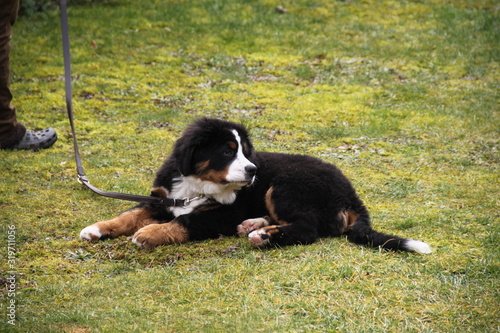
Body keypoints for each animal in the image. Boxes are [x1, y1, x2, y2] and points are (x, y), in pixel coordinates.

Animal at [80, 116, 432, 252]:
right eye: (227, 151)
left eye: (244, 151)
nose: (252, 171)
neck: (197, 185)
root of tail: (351, 194)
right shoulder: (164, 198)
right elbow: (130, 214)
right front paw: (97, 229)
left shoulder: (219, 214)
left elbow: (186, 222)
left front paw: (149, 234)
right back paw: (254, 225)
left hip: (287, 185)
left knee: (310, 229)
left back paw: (262, 235)